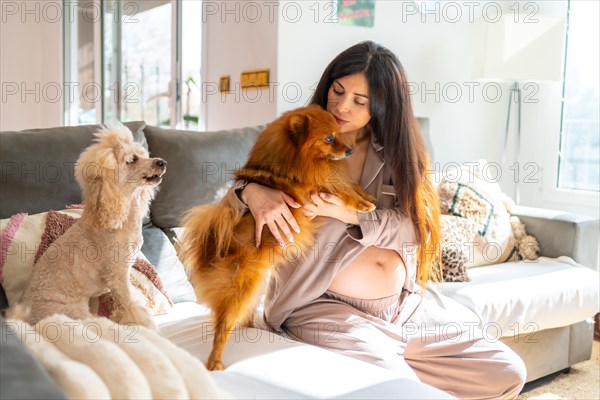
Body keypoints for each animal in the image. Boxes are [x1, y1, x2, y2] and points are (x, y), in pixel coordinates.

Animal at [11, 126, 166, 328]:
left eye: (144, 154)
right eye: (132, 160)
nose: (162, 162)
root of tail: (26, 317)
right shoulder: (118, 276)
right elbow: (130, 305)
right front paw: (141, 324)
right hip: (73, 312)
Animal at [182, 104, 376, 370]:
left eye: (338, 134)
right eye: (329, 138)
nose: (349, 150)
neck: (295, 161)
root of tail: (209, 252)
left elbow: (350, 185)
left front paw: (368, 196)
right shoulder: (313, 188)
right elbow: (341, 190)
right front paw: (362, 204)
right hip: (240, 288)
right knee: (222, 326)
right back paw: (215, 361)